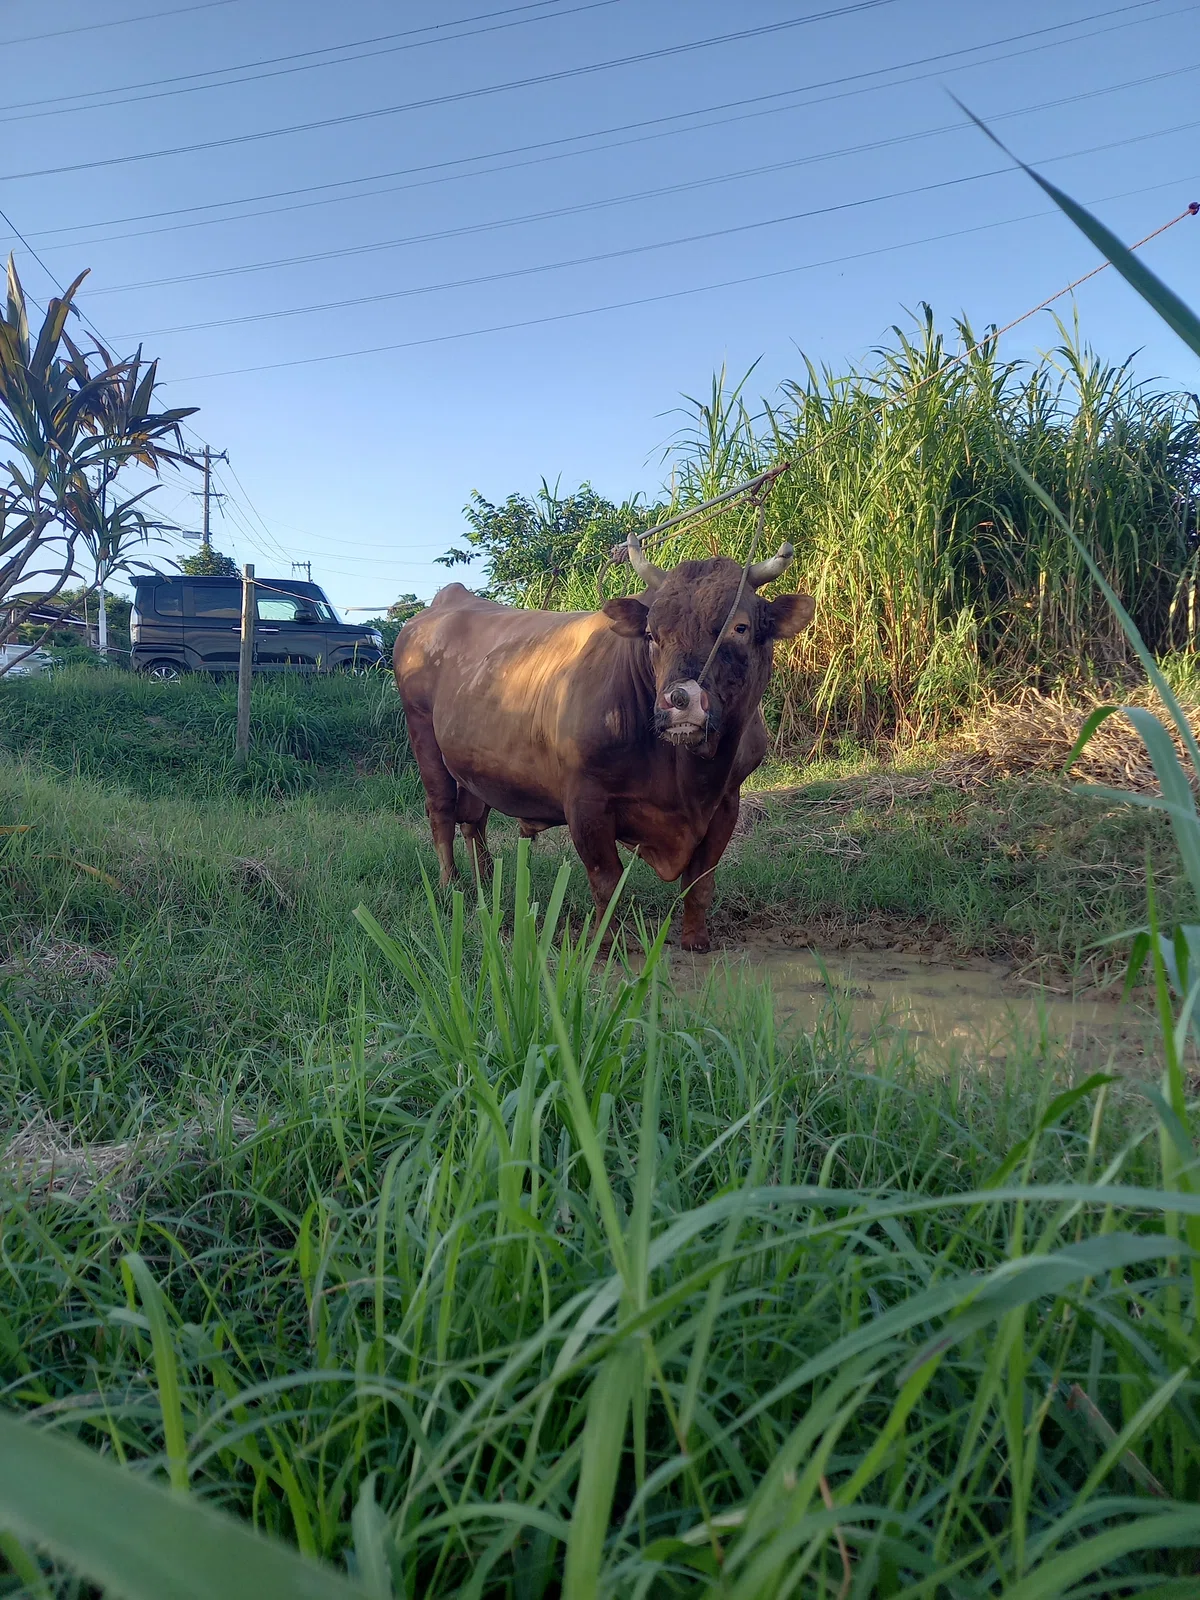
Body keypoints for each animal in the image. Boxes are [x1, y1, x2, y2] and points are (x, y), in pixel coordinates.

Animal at [393, 527, 814, 952]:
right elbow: (606, 879)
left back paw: (484, 881)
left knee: (473, 819)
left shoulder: (727, 801)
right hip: (423, 734)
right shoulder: (586, 801)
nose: (679, 700)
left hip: (472, 760)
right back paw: (449, 885)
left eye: (739, 627)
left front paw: (696, 938)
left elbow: (700, 880)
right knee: (442, 810)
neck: (687, 778)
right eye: (652, 633)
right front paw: (606, 942)